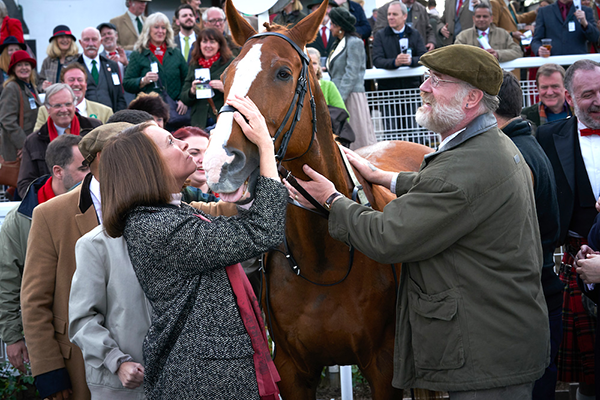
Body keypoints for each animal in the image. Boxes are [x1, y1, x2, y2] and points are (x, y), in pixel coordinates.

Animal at [204, 1, 434, 398]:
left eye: (283, 73)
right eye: (227, 76)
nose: (220, 162)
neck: (323, 258)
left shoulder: (383, 365)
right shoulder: (292, 369)